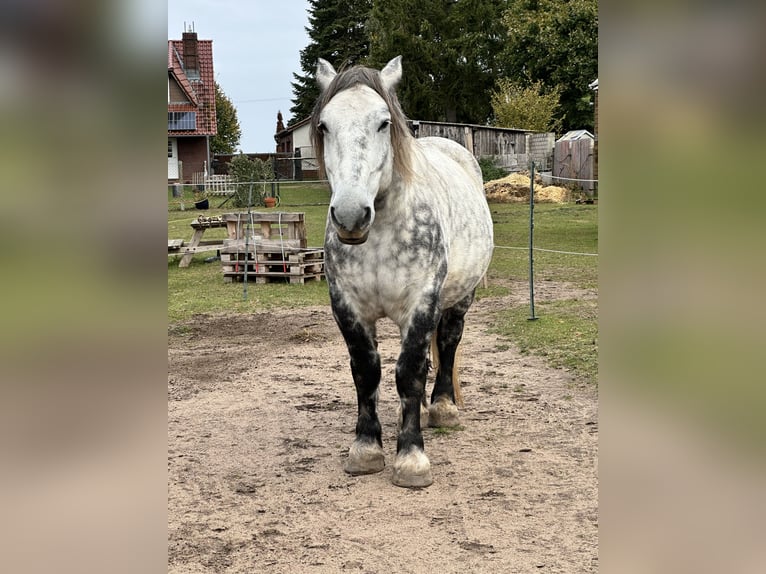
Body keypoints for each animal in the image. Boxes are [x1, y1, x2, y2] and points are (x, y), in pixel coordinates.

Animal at [311, 56, 494, 488]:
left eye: (383, 122)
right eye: (324, 125)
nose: (350, 215)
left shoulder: (421, 301)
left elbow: (409, 372)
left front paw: (411, 457)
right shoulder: (348, 307)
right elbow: (367, 372)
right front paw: (366, 449)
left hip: (458, 299)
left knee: (447, 344)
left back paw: (442, 408)